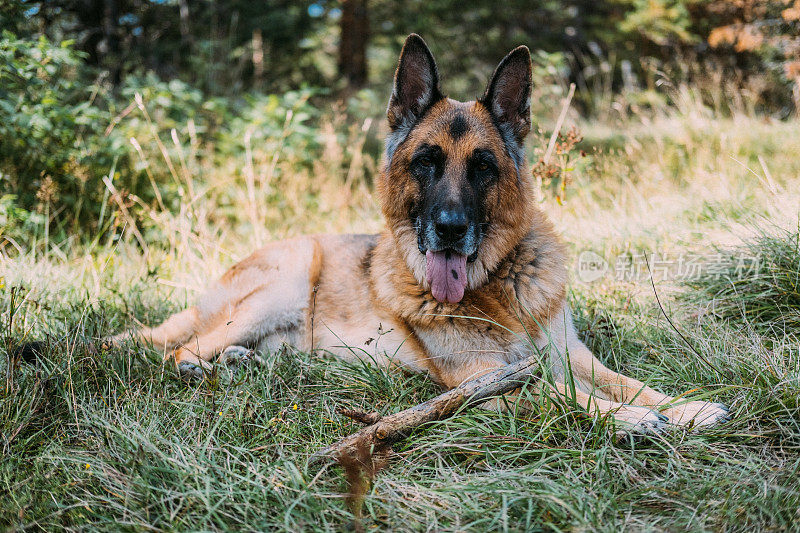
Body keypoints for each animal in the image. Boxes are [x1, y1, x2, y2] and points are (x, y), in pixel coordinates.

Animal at [109, 34, 728, 432]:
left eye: (483, 167)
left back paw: (249, 364)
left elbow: (628, 381)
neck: (495, 290)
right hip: (286, 280)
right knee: (180, 349)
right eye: (426, 163)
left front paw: (686, 406)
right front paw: (635, 419)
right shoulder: (483, 382)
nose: (450, 232)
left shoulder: (570, 355)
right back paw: (203, 367)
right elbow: (566, 396)